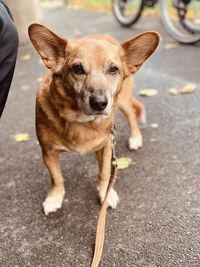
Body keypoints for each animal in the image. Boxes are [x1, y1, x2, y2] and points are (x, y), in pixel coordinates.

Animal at [28, 24, 159, 217]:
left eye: (114, 69)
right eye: (77, 69)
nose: (99, 103)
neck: (80, 120)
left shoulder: (106, 147)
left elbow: (104, 173)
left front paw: (106, 193)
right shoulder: (48, 152)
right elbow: (56, 178)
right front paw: (54, 197)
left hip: (123, 102)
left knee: (132, 116)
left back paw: (135, 138)